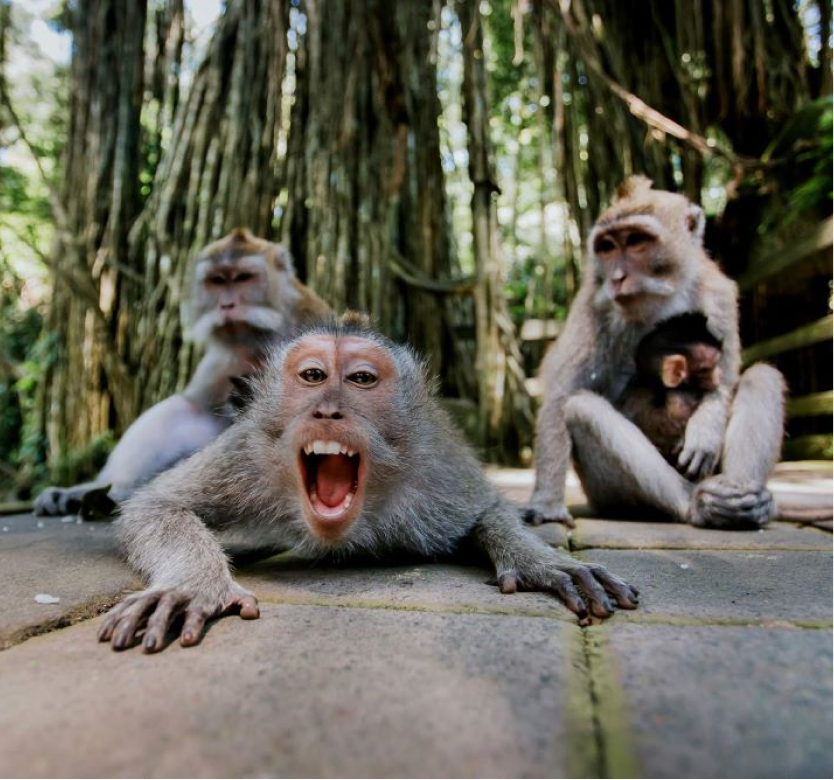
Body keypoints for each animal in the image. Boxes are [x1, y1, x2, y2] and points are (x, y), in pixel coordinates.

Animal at [35, 228, 331, 517]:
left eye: (243, 278)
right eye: (217, 281)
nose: (226, 305)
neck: (259, 343)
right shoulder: (222, 360)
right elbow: (198, 407)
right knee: (181, 409)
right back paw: (100, 492)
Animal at [97, 316, 639, 652]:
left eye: (360, 379)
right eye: (313, 375)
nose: (328, 410)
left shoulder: (435, 467)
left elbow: (488, 510)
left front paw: (540, 561)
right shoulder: (248, 451)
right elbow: (156, 505)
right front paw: (193, 585)